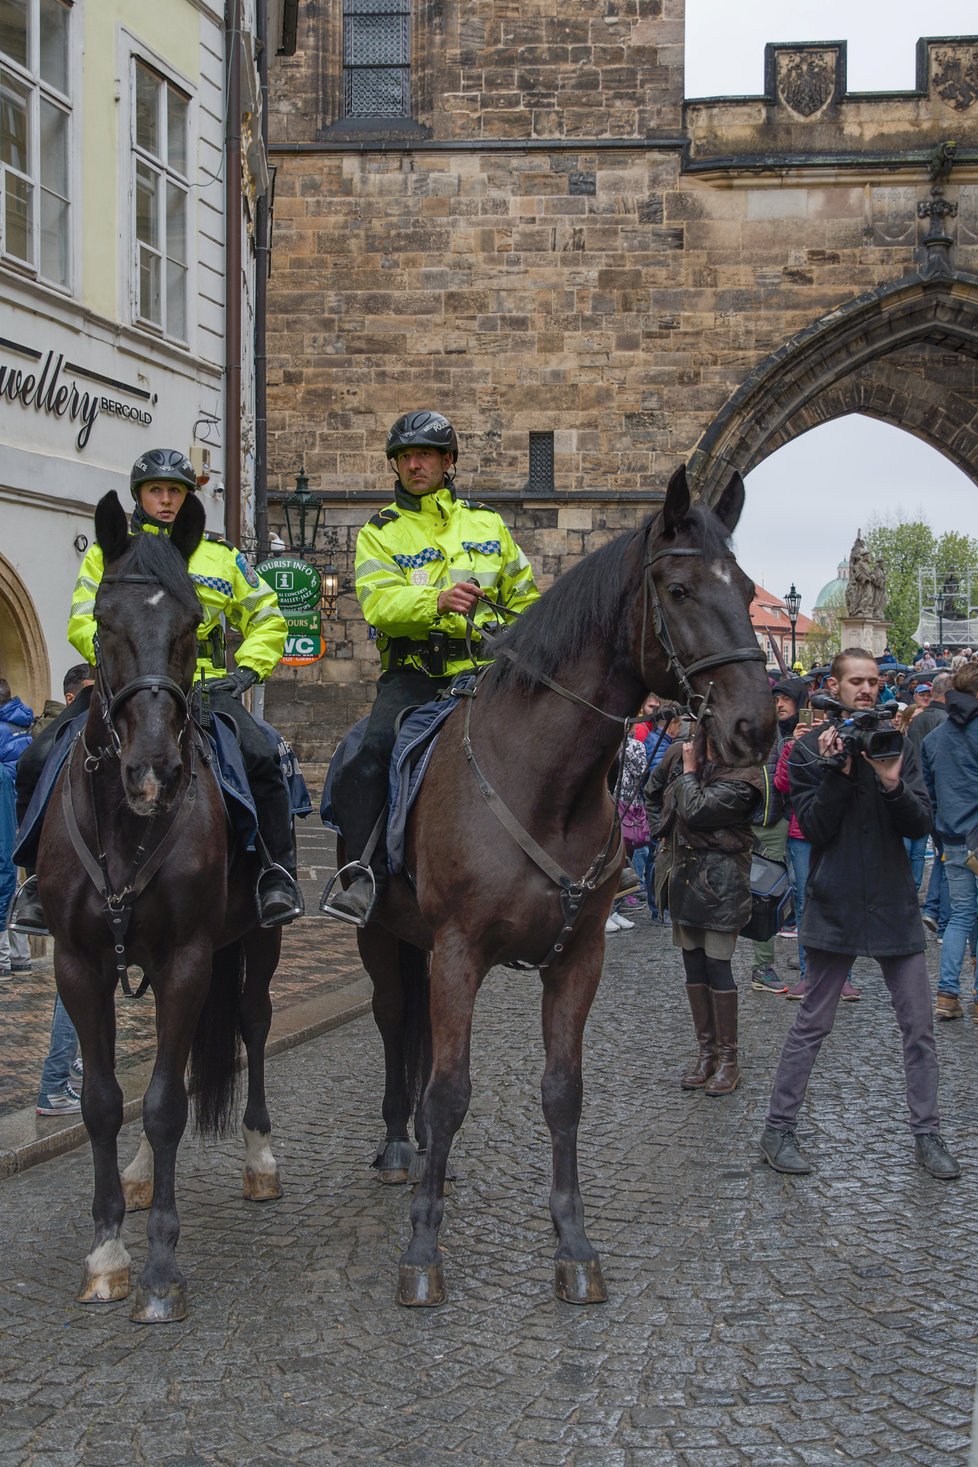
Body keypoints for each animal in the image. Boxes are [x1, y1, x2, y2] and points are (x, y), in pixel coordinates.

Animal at [38, 495, 282, 1332]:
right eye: (103, 621)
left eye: (192, 624)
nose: (154, 770)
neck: (127, 820)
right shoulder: (76, 963)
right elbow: (106, 1100)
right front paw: (109, 1251)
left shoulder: (188, 958)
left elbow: (168, 1102)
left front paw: (160, 1269)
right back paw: (143, 1175)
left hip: (256, 943)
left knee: (251, 1025)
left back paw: (259, 1156)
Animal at [347, 463, 774, 1302]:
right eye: (679, 588)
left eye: (744, 588)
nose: (757, 724)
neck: (544, 782)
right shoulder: (460, 953)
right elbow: (451, 1091)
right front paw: (423, 1249)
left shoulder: (577, 959)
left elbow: (562, 1091)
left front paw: (573, 1243)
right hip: (383, 939)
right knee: (392, 1025)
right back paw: (397, 1146)